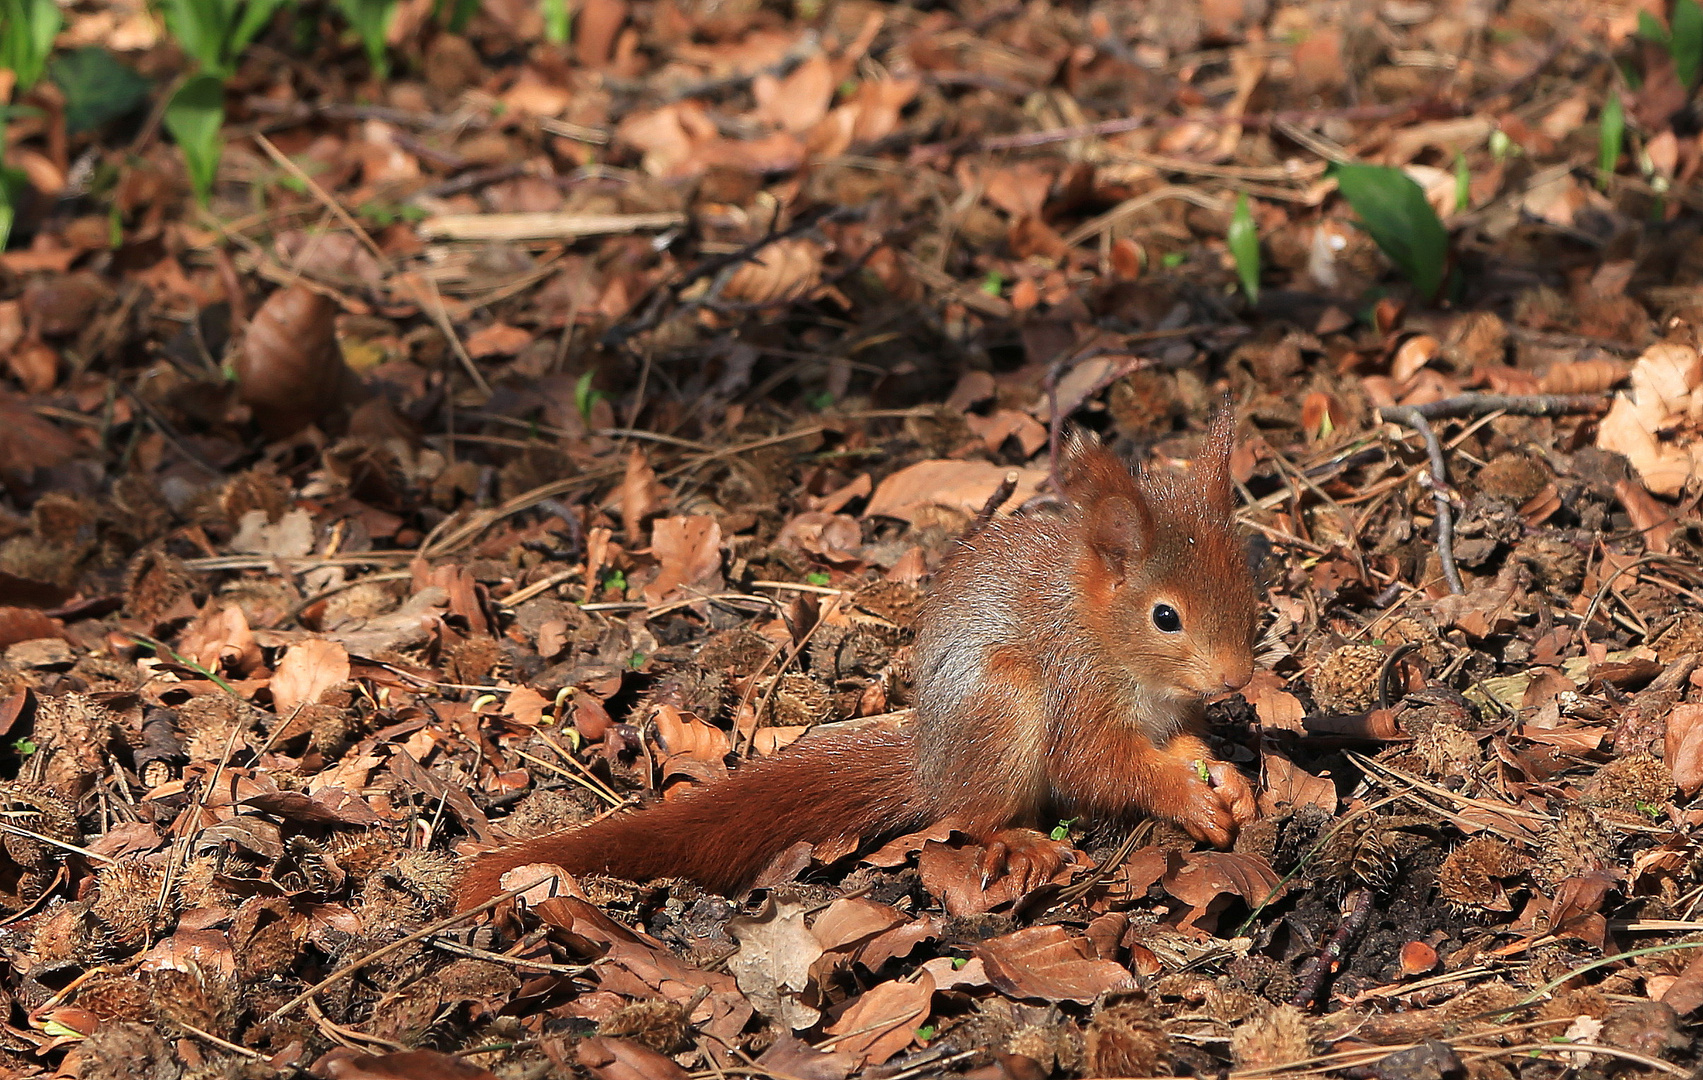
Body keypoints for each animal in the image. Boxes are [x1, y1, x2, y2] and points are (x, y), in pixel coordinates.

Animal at [452, 407, 1267, 906]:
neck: (1117, 648)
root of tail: (929, 764)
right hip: (1003, 710)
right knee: (970, 814)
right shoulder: (1077, 688)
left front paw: (1223, 776)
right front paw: (1188, 797)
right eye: (1165, 616)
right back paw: (1018, 840)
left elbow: (1181, 745)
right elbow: (1097, 767)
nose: (1236, 677)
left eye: (1249, 579)